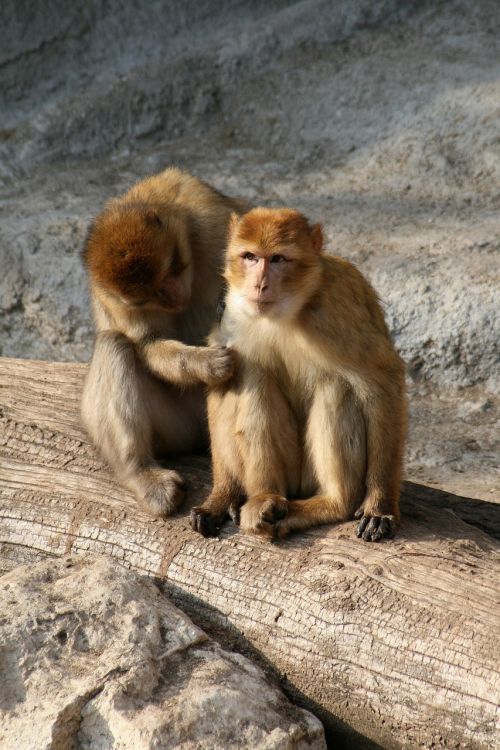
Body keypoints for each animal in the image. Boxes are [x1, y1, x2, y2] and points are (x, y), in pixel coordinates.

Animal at [189, 209, 408, 544]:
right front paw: (222, 497)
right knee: (251, 374)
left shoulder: (339, 309)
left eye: (278, 259)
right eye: (250, 256)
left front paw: (380, 505)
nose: (259, 285)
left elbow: (383, 383)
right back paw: (266, 502)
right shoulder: (232, 313)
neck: (286, 312)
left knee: (336, 387)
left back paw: (331, 504)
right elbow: (221, 379)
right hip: (291, 479)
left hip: (308, 480)